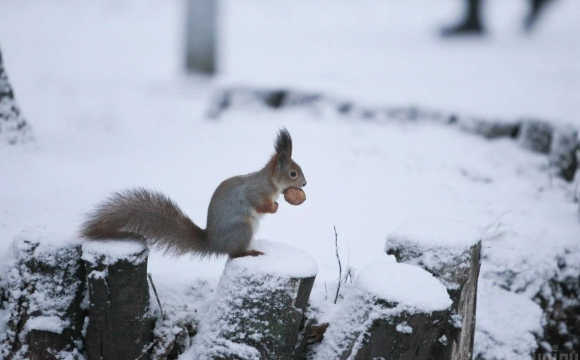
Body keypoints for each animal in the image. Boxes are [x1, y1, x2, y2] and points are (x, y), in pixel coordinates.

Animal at [82, 129, 310, 258]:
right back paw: (249, 251)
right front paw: (275, 207)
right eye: (293, 173)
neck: (270, 182)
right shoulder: (257, 192)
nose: (305, 183)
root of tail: (213, 244)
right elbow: (261, 204)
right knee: (235, 253)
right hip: (242, 229)